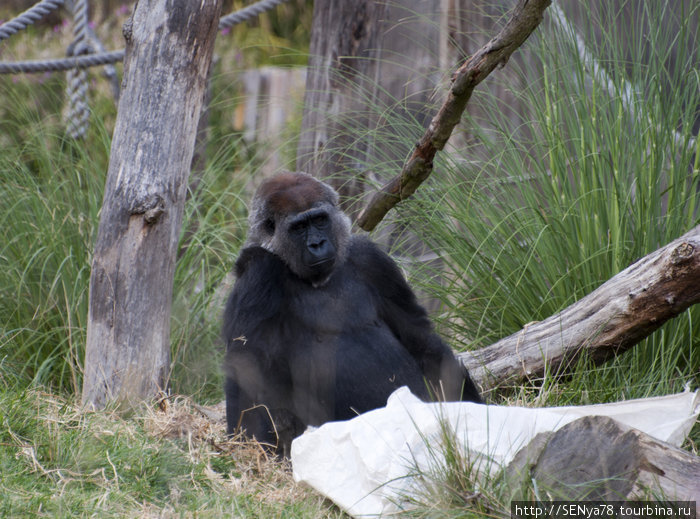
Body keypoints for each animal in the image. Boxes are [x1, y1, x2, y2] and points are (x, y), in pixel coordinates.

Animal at [224, 172, 482, 456]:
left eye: (320, 220)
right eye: (299, 227)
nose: (317, 244)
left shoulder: (371, 259)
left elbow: (419, 338)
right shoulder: (258, 270)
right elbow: (247, 366)